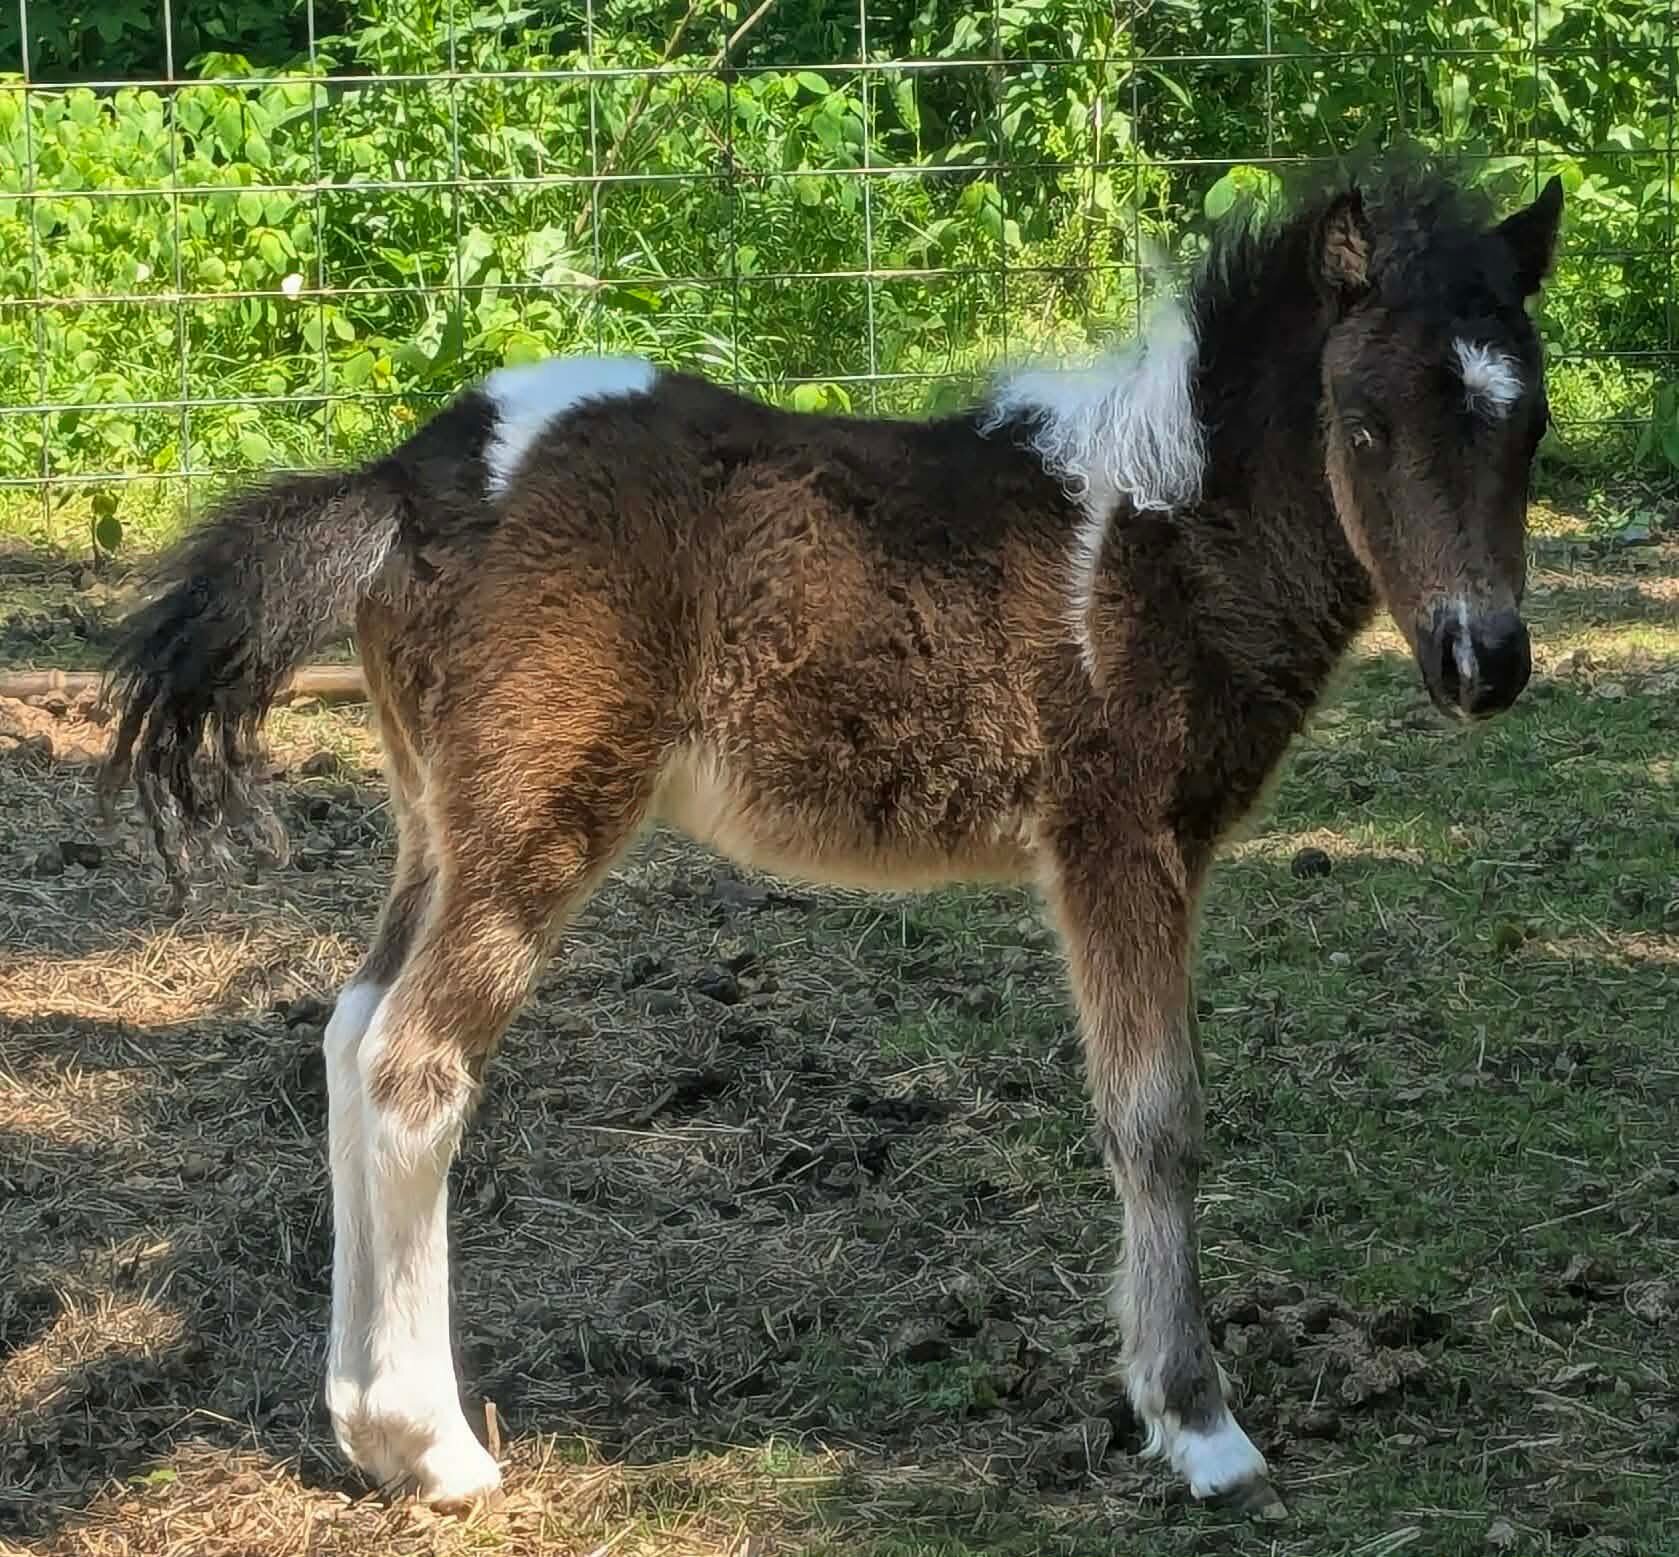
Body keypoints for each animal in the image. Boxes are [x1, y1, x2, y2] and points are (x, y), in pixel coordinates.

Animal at [100, 159, 1563, 1516]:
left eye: (1531, 422)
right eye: (1362, 423)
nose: (1481, 661)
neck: (1162, 537)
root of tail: (408, 481)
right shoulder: (1116, 841)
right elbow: (1154, 1121)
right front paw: (1197, 1426)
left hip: (434, 824)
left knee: (350, 1037)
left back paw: (361, 1427)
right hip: (534, 823)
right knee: (413, 1066)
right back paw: (440, 1450)